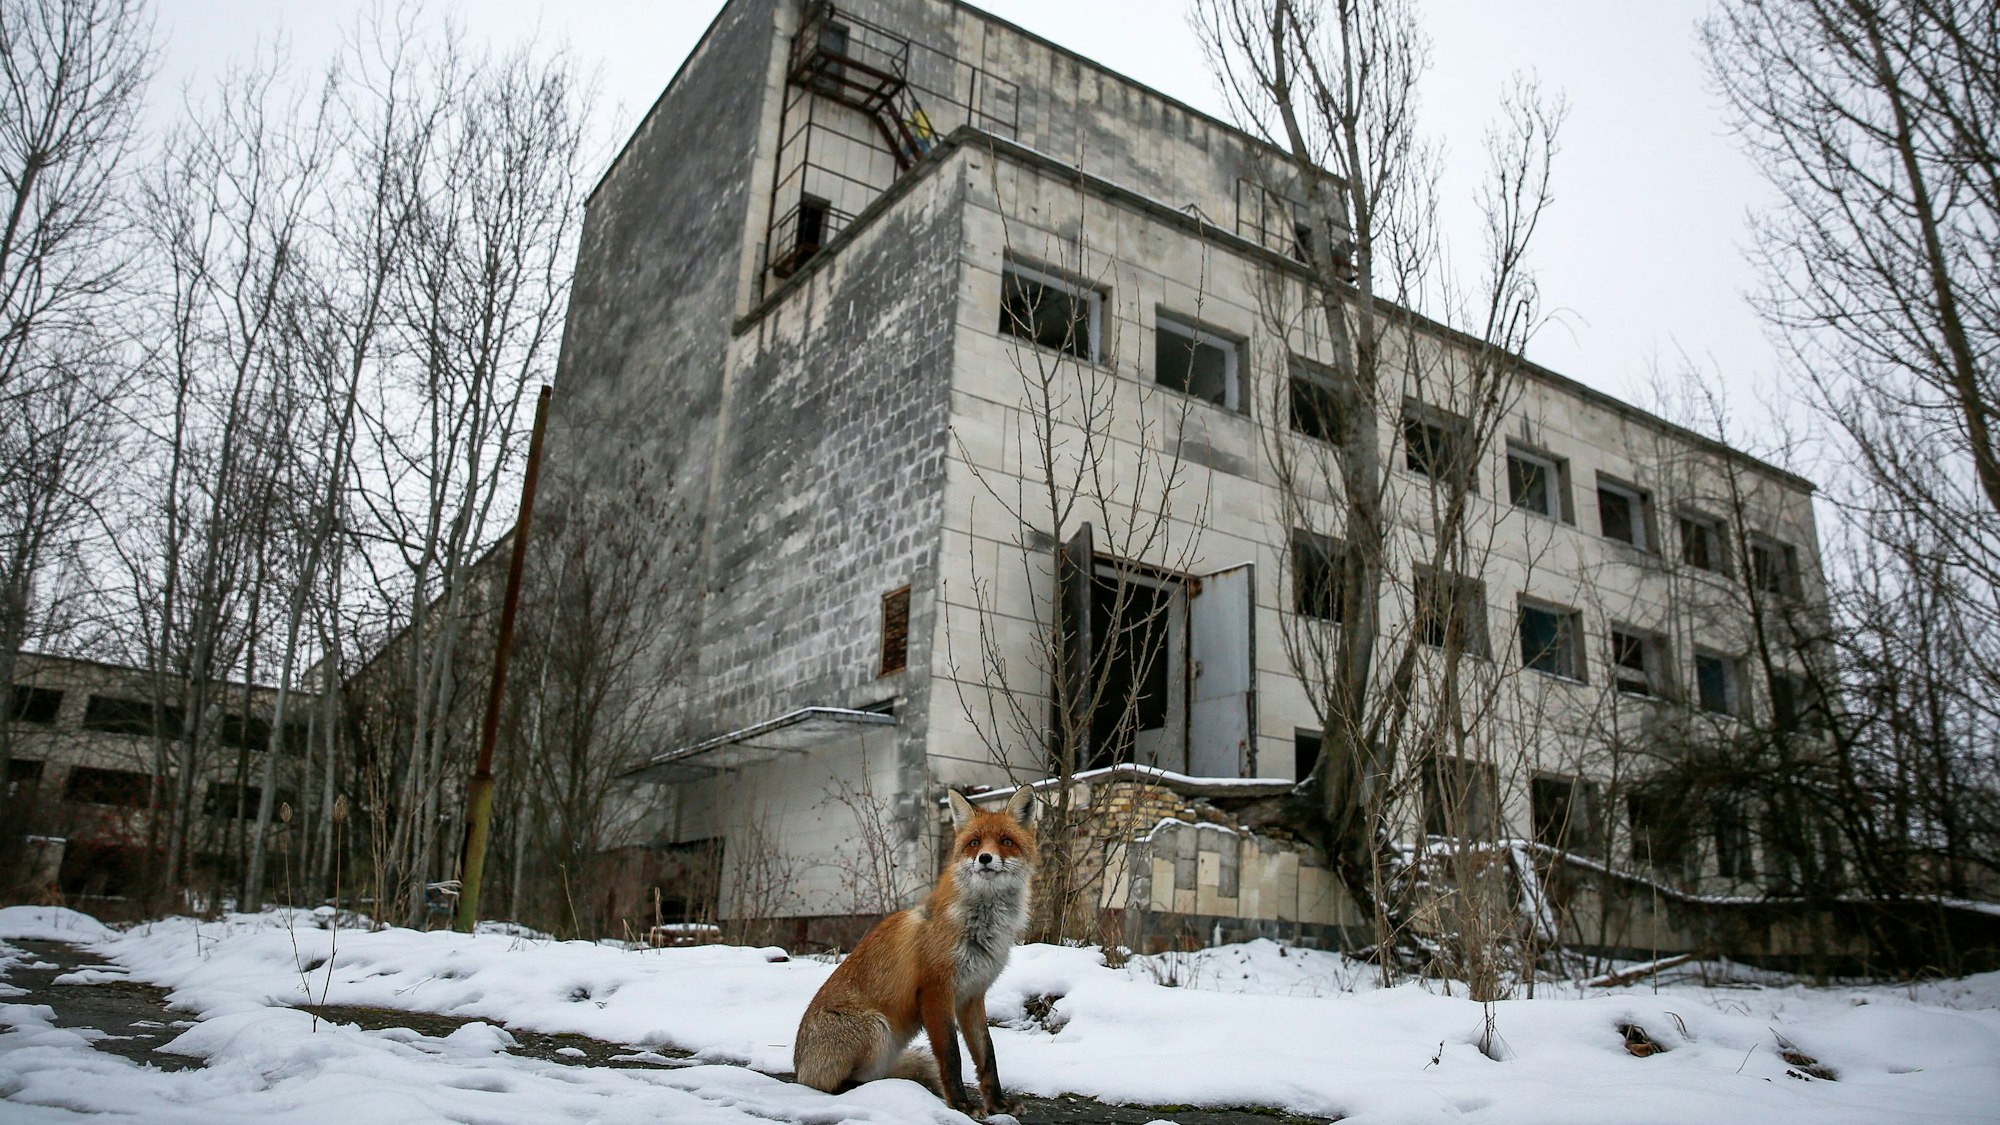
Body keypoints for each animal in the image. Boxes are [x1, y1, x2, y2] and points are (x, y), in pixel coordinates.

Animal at [794, 784, 1039, 1118]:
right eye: (974, 842)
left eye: (1006, 841)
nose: (985, 858)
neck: (979, 927)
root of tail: (797, 1068)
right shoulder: (935, 992)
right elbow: (951, 1056)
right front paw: (961, 1105)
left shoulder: (972, 996)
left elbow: (987, 1055)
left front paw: (998, 1104)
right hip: (876, 1028)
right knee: (833, 1084)